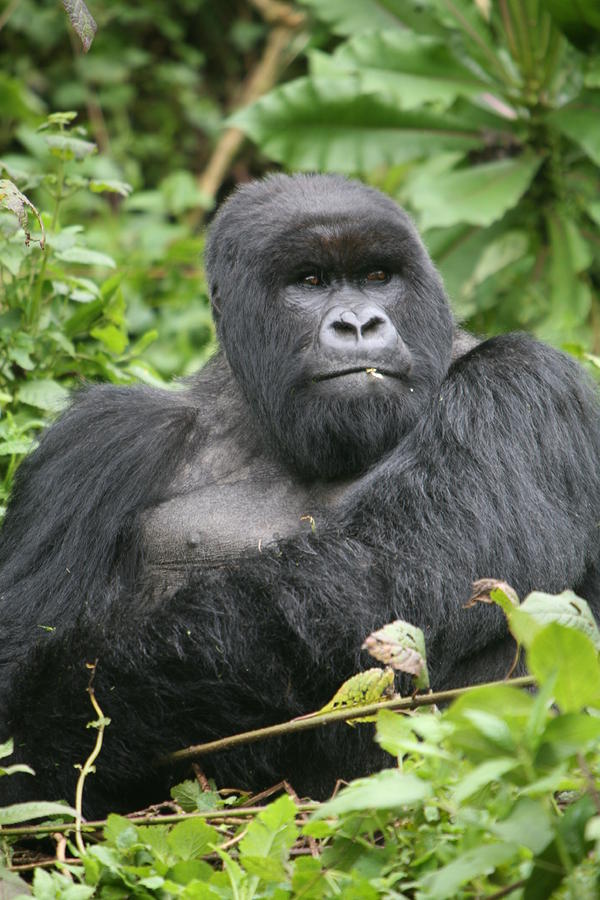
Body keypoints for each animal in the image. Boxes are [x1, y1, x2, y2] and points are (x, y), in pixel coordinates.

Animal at [1, 174, 600, 816]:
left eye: (377, 277)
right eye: (310, 282)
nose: (360, 324)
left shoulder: (522, 385)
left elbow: (381, 585)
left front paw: (60, 711)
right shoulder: (96, 441)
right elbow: (17, 650)